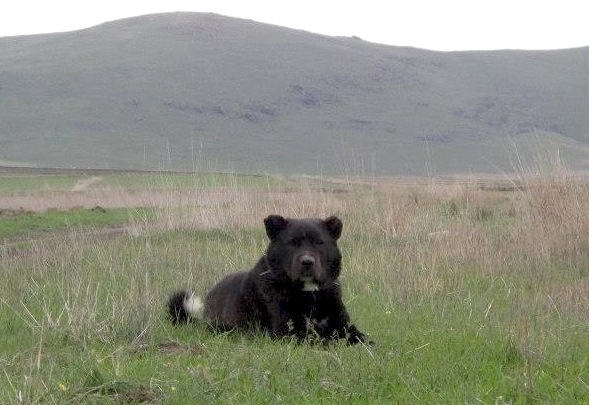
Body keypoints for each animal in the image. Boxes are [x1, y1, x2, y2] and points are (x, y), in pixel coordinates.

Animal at [167, 215, 368, 344]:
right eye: (292, 242)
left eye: (319, 242)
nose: (307, 262)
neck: (310, 295)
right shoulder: (289, 332)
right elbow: (322, 341)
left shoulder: (343, 326)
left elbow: (363, 338)